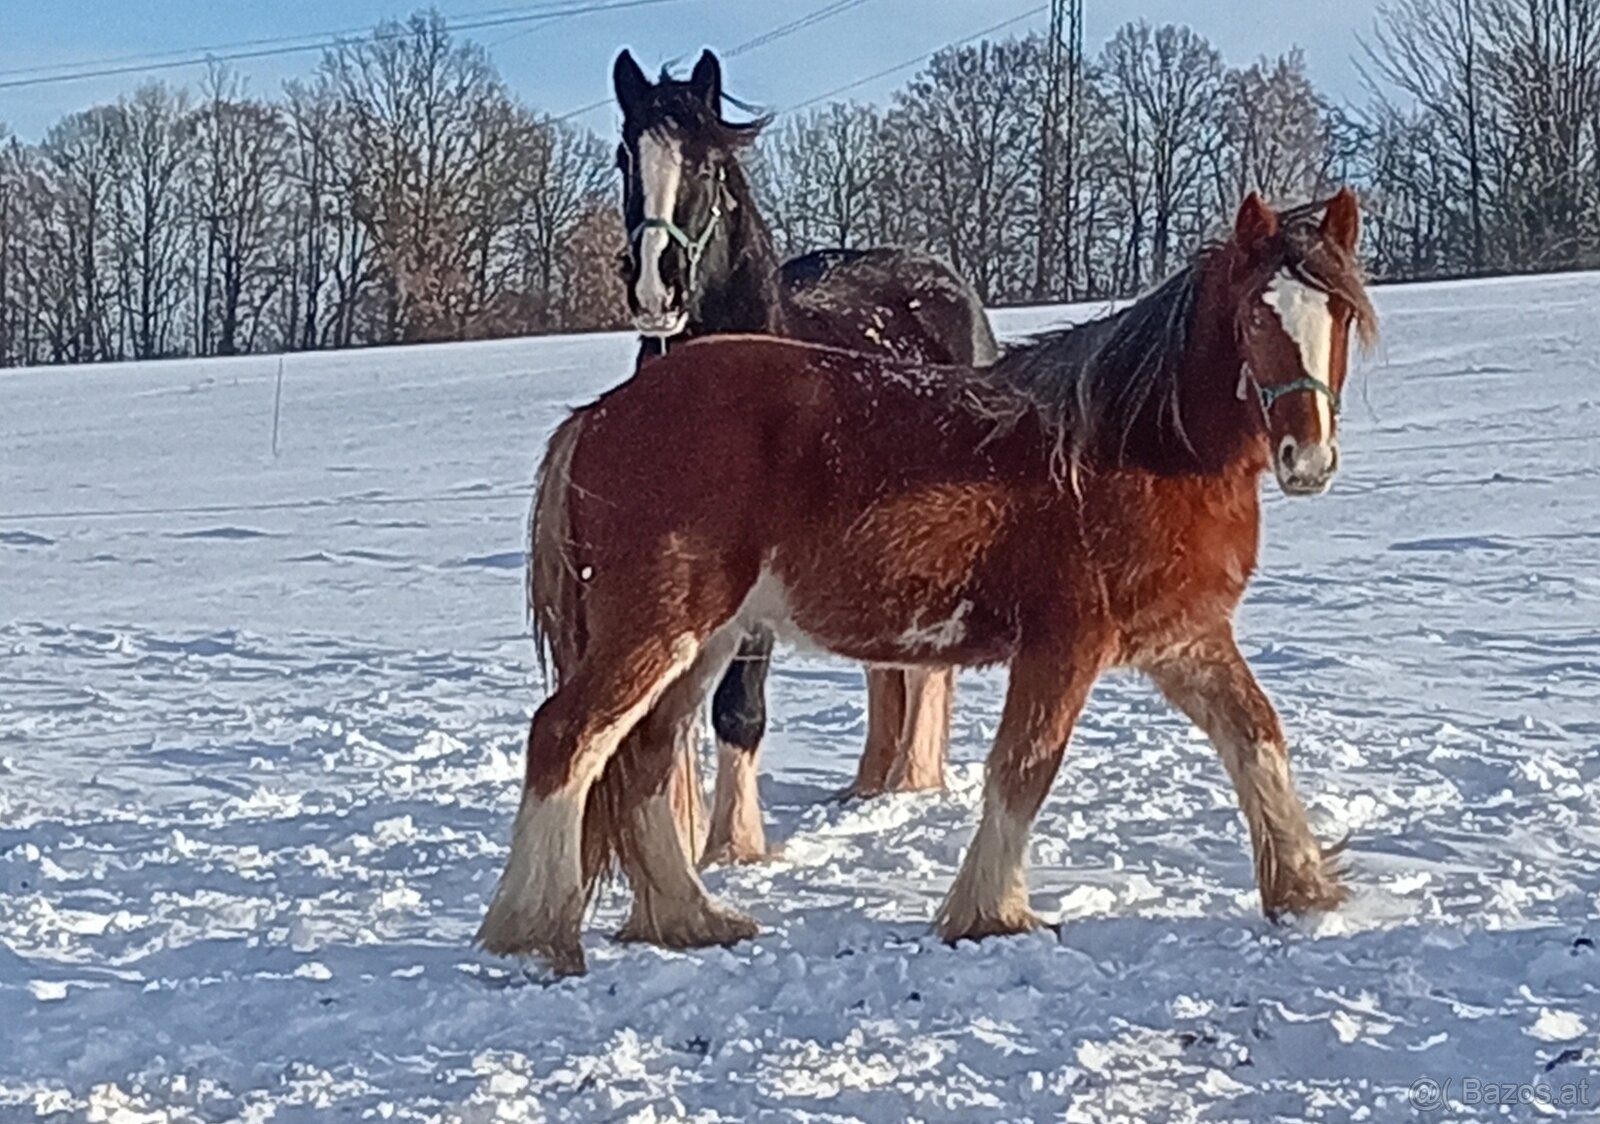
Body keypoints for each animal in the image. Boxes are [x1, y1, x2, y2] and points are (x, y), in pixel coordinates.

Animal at [480, 188, 1377, 976]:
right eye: (1256, 315)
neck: (1131, 445)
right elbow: (1024, 771)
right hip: (658, 631)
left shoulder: (1184, 642)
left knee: (642, 762)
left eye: (1337, 315)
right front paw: (991, 914)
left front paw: (1304, 889)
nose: (1308, 461)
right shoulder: (1064, 646)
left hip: (706, 642)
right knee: (567, 739)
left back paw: (693, 918)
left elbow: (1256, 738)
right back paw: (534, 938)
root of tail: (599, 413)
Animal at [604, 48, 1000, 866]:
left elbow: (736, 706)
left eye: (709, 163)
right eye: (627, 155)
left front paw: (735, 845)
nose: (656, 286)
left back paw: (911, 782)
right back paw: (870, 785)